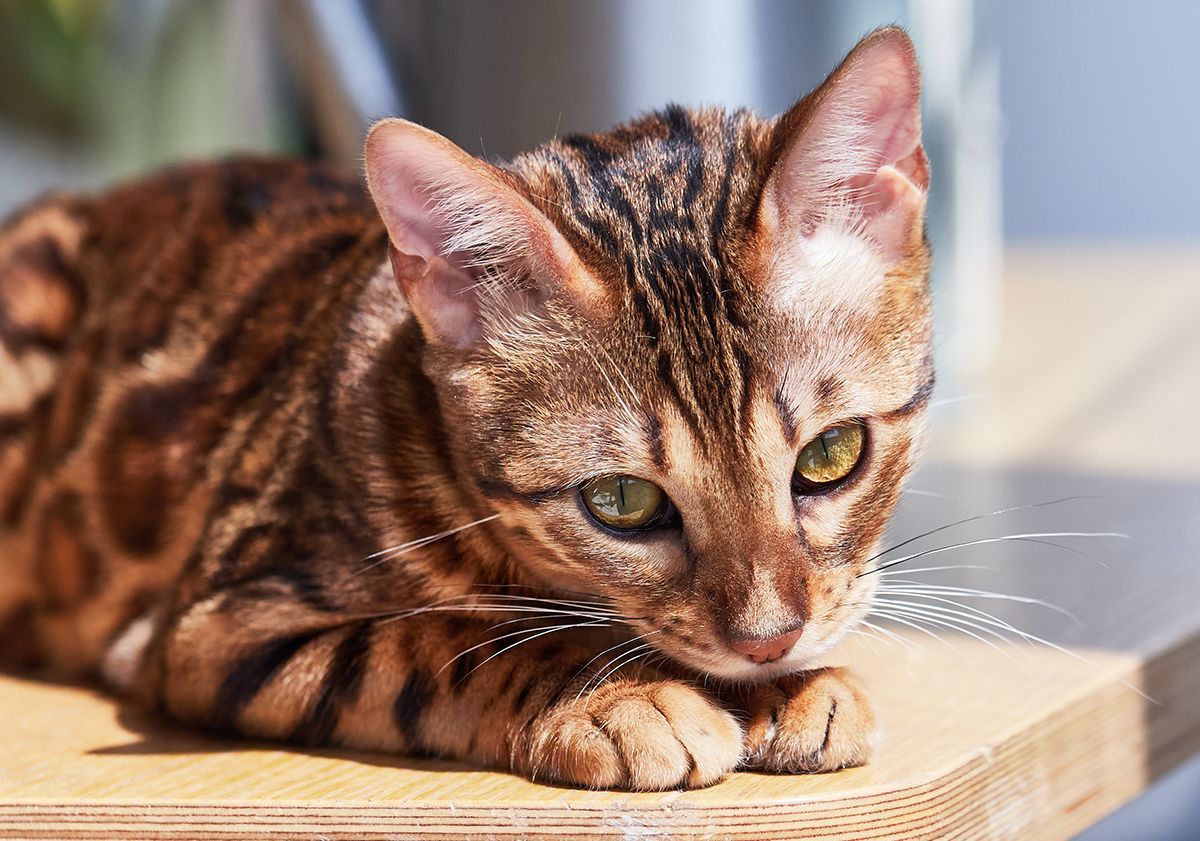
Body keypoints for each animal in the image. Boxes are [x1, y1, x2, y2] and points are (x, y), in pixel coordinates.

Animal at [0, 27, 926, 787]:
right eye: (622, 501)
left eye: (831, 454)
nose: (767, 640)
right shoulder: (213, 626)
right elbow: (445, 639)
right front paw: (620, 693)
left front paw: (794, 685)